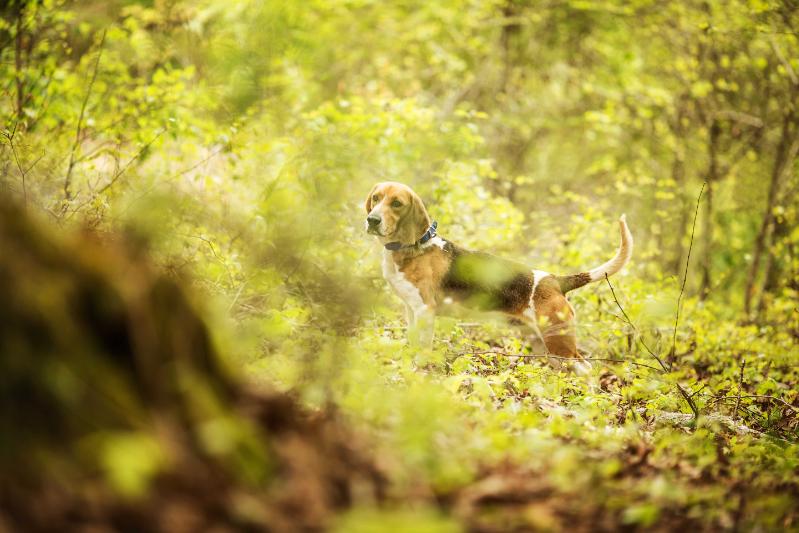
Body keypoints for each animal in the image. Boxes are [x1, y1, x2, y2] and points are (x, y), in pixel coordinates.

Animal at [366, 182, 636, 362]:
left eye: (397, 203)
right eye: (376, 198)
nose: (372, 220)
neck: (415, 247)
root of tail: (554, 281)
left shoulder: (425, 310)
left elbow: (422, 348)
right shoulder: (411, 309)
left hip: (559, 342)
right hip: (542, 342)